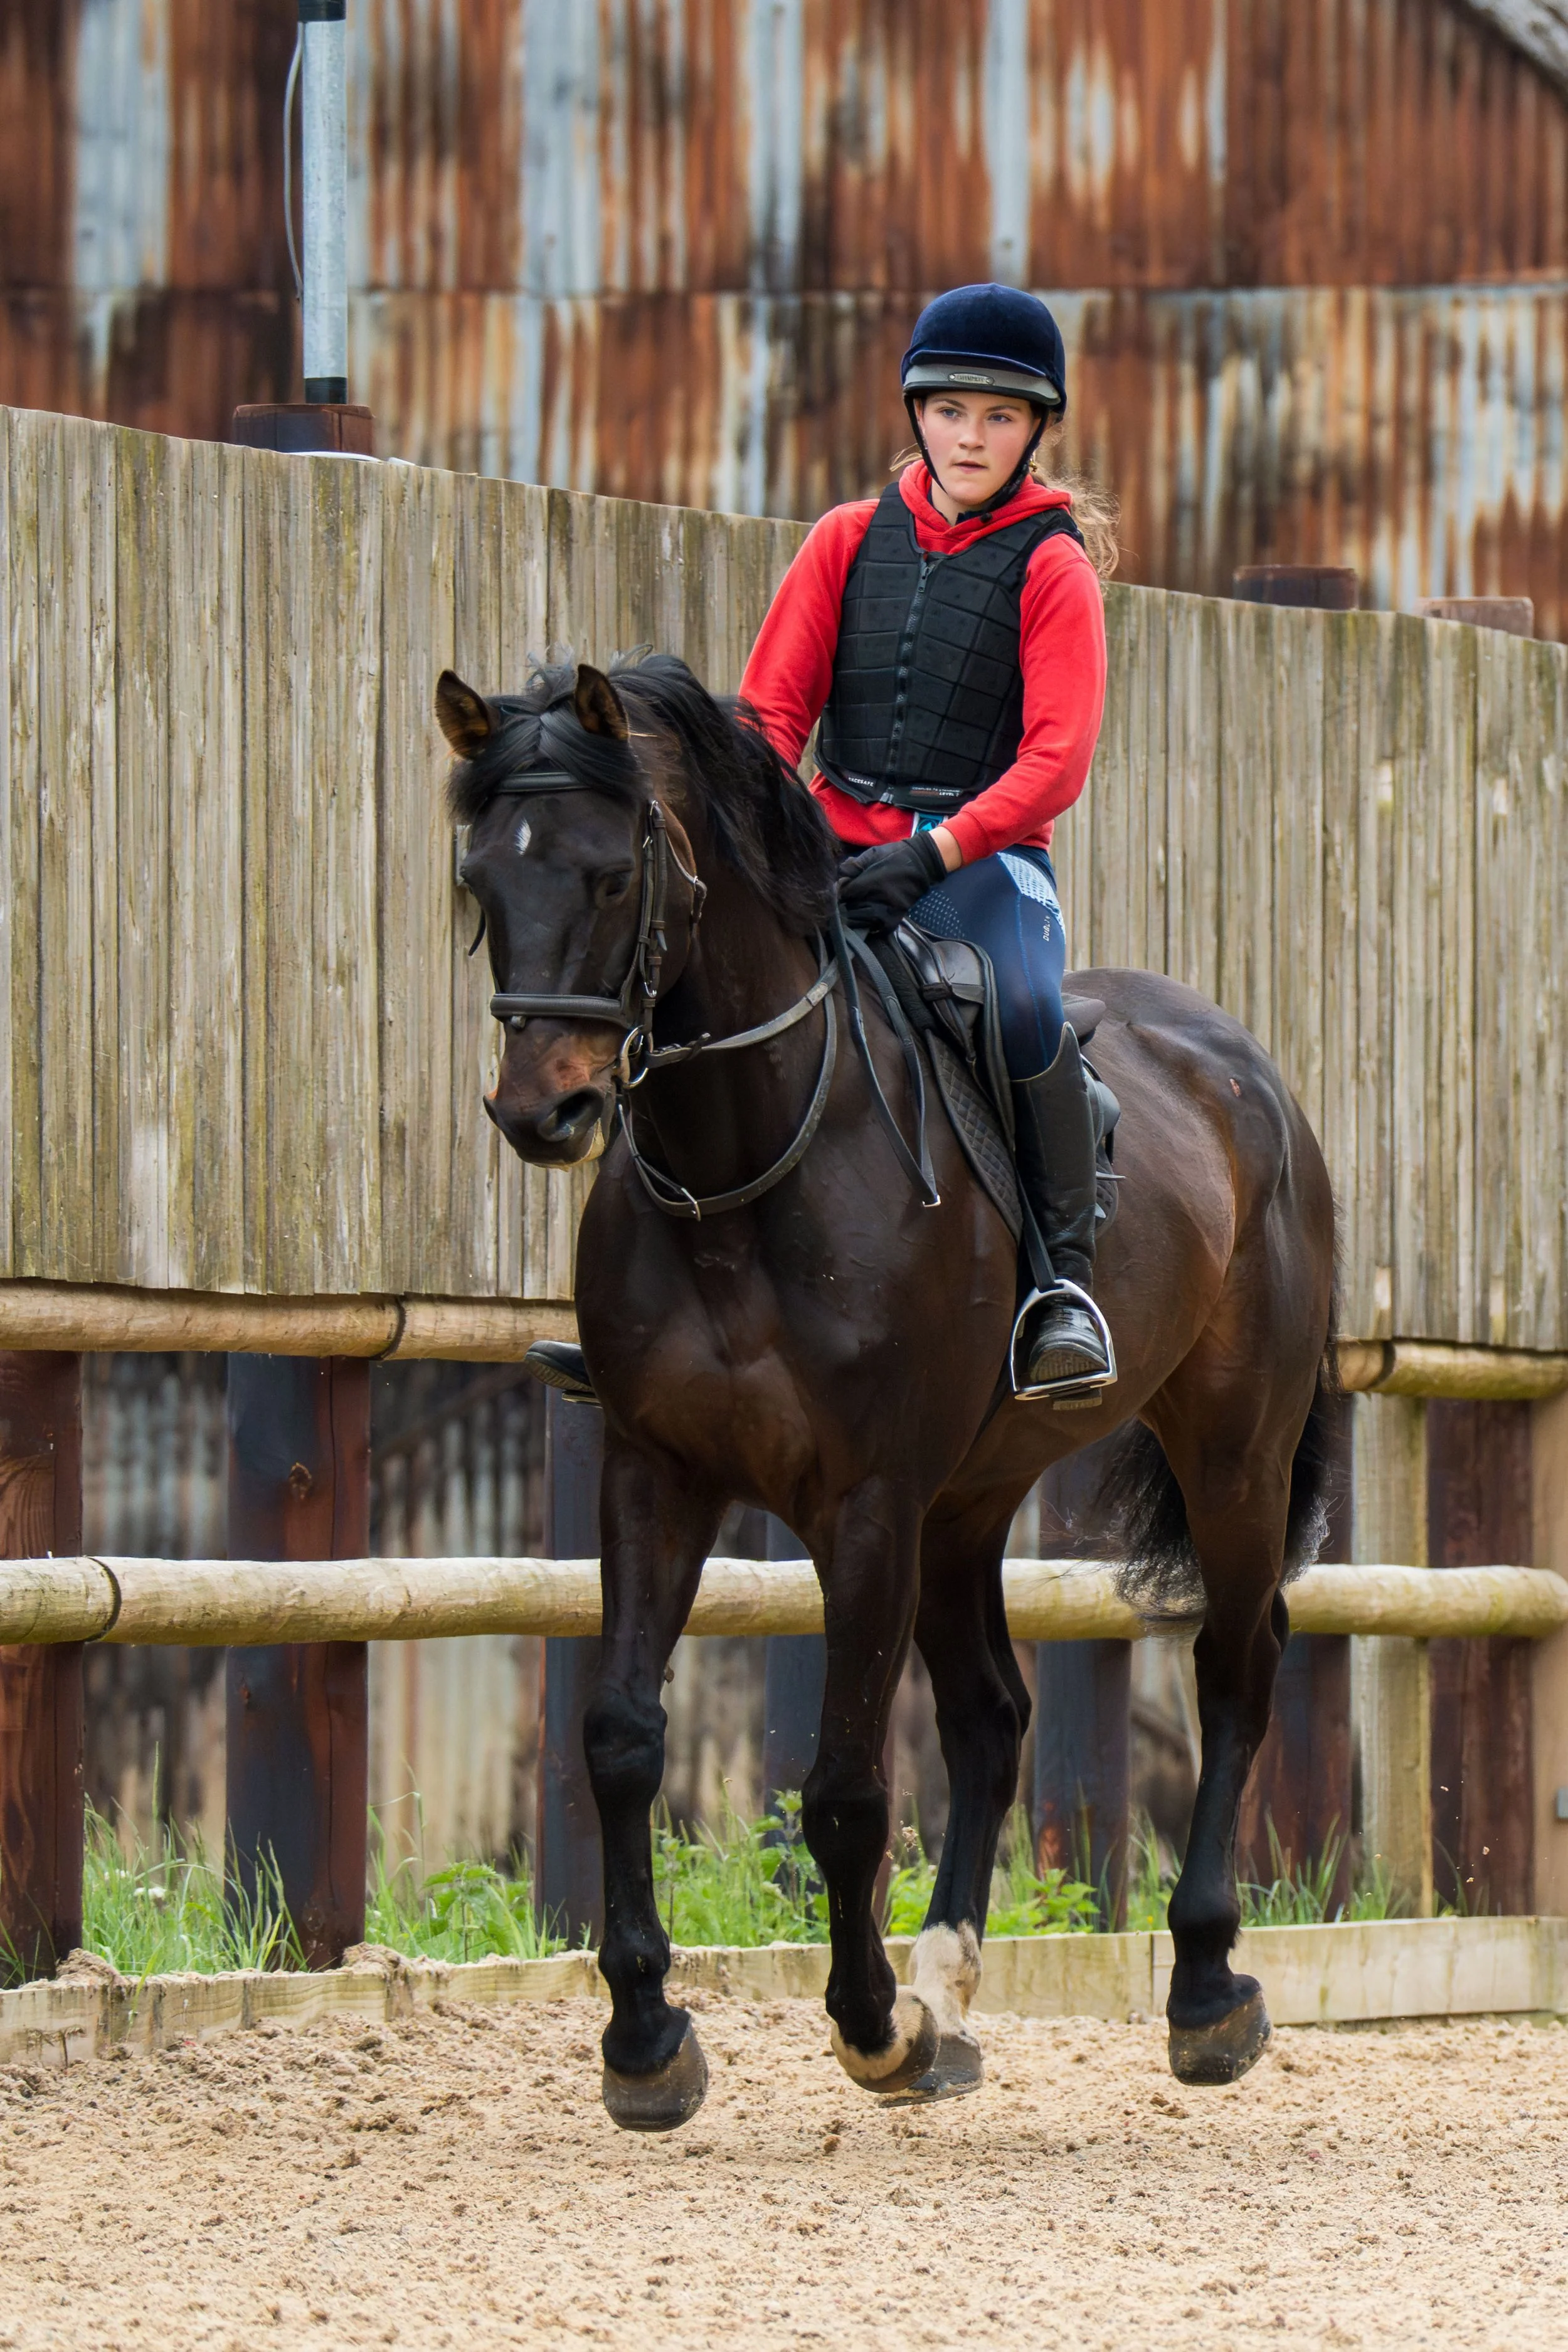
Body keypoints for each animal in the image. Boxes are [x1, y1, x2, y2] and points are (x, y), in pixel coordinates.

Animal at [439, 652, 1337, 2131]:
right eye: (478, 880)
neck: (744, 1161)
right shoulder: (656, 1472)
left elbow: (846, 1790)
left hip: (1232, 1455)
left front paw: (865, 2028)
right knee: (990, 1718)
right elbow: (620, 1736)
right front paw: (646, 2038)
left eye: (611, 874)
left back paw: (1203, 1991)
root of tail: (1242, 1069)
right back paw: (948, 1991)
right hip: (968, 1502)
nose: (541, 1113)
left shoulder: (862, 1501)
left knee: (1232, 1667)